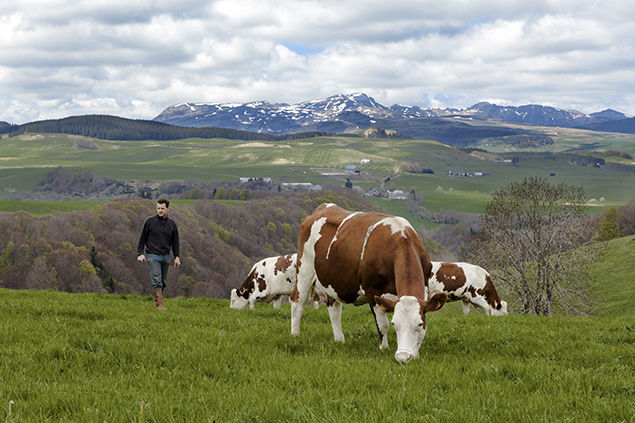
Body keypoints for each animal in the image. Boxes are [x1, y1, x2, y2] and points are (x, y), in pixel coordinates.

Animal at [290, 204, 448, 362]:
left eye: (420, 323)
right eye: (395, 324)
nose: (403, 357)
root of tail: (323, 207)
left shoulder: (425, 288)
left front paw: (417, 353)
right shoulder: (373, 291)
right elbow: (382, 325)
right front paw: (384, 348)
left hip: (332, 282)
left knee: (334, 308)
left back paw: (339, 340)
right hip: (304, 269)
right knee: (297, 302)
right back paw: (295, 335)